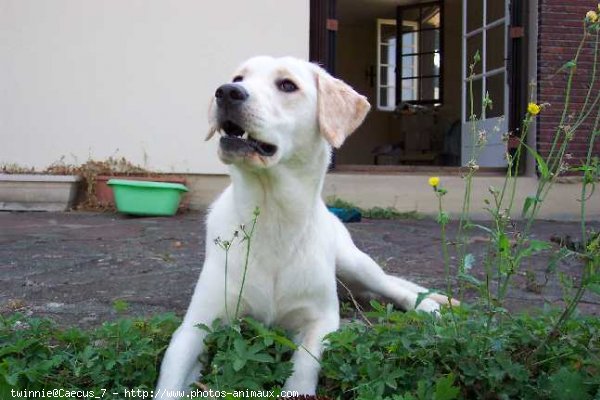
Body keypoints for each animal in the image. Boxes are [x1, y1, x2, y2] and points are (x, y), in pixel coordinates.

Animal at [155, 55, 450, 396]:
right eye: (238, 78)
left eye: (287, 85)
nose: (227, 92)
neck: (273, 216)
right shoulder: (195, 325)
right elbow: (169, 380)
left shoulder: (321, 319)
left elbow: (305, 365)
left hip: (355, 263)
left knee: (394, 287)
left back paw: (428, 307)